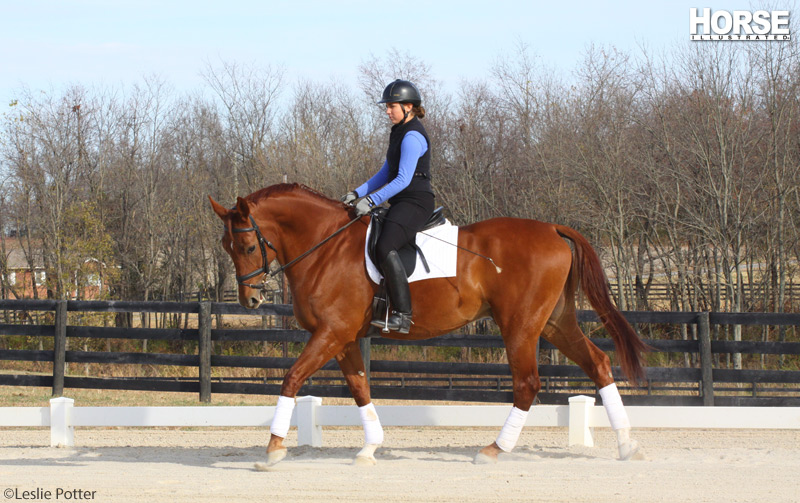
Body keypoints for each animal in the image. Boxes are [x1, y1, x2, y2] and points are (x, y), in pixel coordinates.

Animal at [209, 183, 648, 466]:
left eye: (247, 246)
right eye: (227, 247)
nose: (251, 300)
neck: (325, 247)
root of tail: (552, 229)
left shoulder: (331, 333)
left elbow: (292, 378)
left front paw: (273, 449)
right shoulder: (345, 337)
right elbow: (360, 388)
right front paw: (370, 448)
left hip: (520, 326)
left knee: (527, 384)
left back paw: (494, 449)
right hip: (555, 322)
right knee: (598, 365)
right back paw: (627, 446)